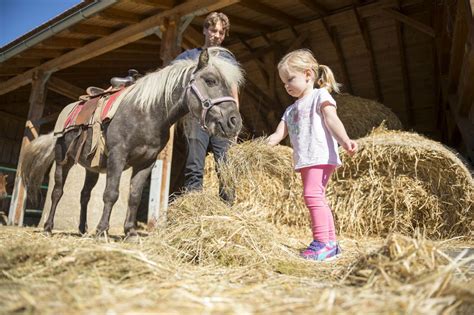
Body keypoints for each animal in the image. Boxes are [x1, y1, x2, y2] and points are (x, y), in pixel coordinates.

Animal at [21, 48, 244, 238]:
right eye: (210, 80)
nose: (234, 122)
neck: (146, 113)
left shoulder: (146, 163)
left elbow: (134, 196)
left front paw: (130, 231)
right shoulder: (117, 157)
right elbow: (111, 194)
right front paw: (102, 231)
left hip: (91, 168)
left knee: (85, 195)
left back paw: (83, 229)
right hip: (63, 161)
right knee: (57, 192)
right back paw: (48, 228)